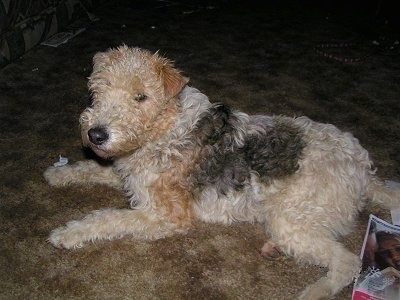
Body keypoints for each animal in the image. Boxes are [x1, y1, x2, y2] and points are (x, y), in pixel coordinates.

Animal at [43, 45, 400, 298]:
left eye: (141, 96)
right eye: (99, 89)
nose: (96, 134)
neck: (165, 128)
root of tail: (364, 171)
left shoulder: (167, 215)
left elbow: (107, 218)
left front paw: (67, 233)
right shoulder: (127, 173)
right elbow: (92, 168)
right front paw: (57, 174)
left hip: (290, 218)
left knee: (347, 263)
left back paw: (312, 292)